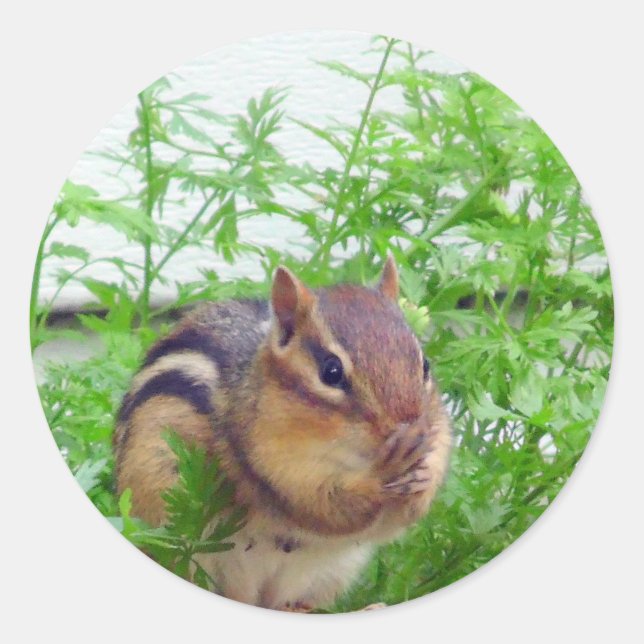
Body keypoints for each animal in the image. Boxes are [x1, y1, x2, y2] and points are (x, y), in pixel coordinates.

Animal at [113, 256, 451, 611]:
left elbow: (400, 517)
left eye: (425, 366)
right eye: (331, 371)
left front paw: (424, 478)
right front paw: (382, 475)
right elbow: (320, 504)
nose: (412, 429)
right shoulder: (271, 459)